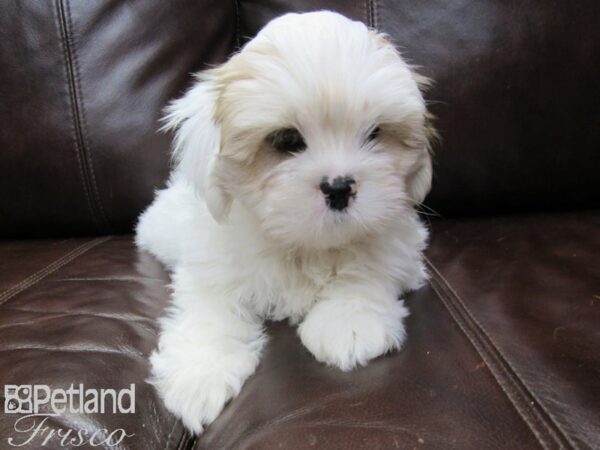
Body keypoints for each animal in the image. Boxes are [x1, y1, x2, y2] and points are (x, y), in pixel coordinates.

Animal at [138, 9, 434, 432]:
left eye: (374, 133)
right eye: (285, 140)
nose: (339, 187)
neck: (304, 244)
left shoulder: (398, 242)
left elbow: (369, 265)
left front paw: (350, 323)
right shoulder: (210, 266)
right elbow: (210, 309)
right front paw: (200, 374)